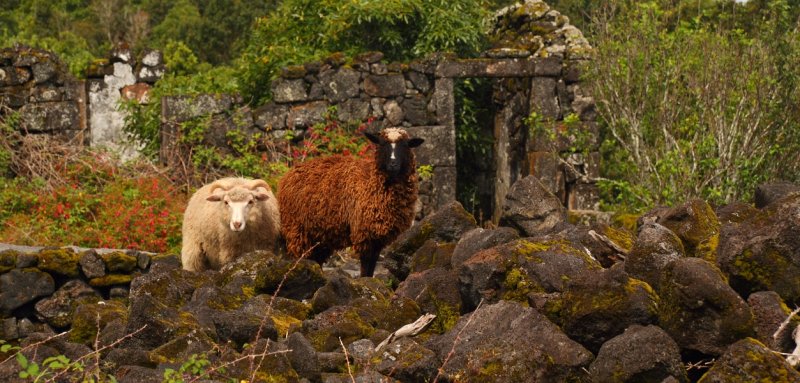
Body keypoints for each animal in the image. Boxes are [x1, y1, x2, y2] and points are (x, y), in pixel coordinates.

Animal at [278, 128, 424, 276]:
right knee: (300, 257)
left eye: (406, 145)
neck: (371, 181)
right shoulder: (363, 232)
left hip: (319, 235)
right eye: (382, 144)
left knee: (316, 259)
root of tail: (288, 175)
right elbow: (366, 265)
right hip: (297, 229)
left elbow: (372, 265)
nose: (393, 164)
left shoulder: (377, 238)